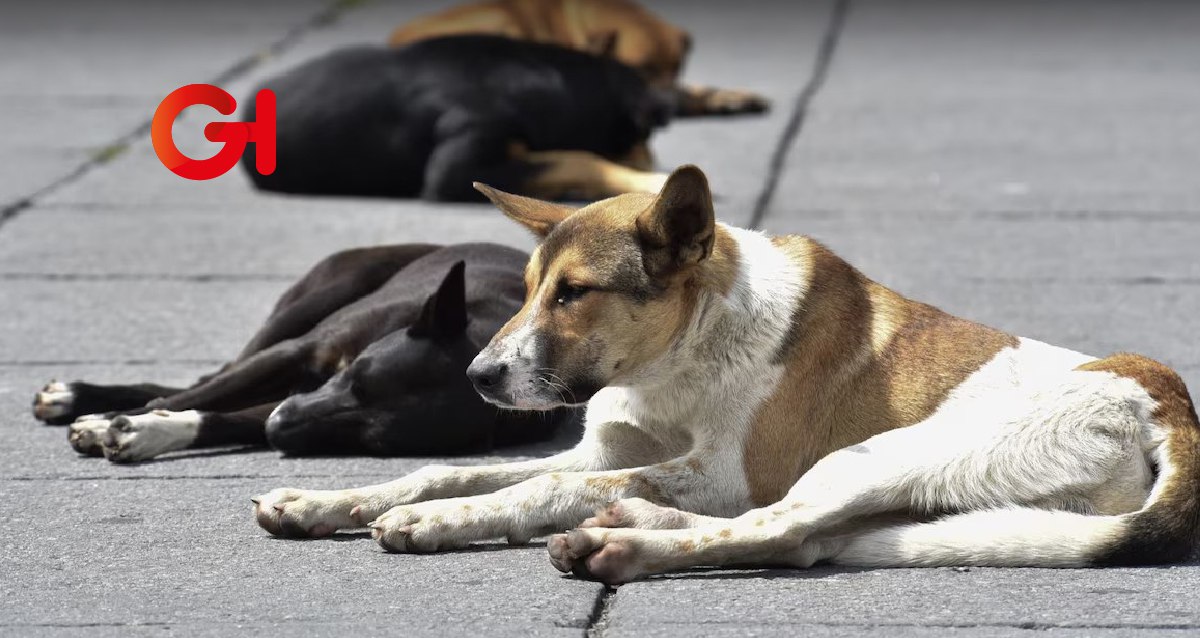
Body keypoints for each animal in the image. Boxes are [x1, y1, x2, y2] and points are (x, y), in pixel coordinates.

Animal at [30, 242, 564, 460]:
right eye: (355, 377)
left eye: (371, 441)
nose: (280, 427)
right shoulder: (295, 356)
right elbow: (192, 397)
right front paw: (113, 420)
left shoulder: (294, 402)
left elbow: (221, 417)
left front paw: (149, 431)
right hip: (313, 301)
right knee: (208, 378)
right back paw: (79, 396)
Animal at [248, 164, 1195, 582]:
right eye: (525, 291)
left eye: (574, 294)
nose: (478, 376)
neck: (685, 353)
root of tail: (1167, 403)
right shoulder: (601, 450)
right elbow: (449, 467)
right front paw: (328, 501)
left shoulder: (729, 473)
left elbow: (532, 489)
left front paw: (441, 522)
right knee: (803, 541)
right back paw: (627, 523)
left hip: (879, 457)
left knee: (778, 528)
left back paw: (619, 543)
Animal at [388, 0, 772, 116]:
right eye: (640, 69)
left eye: (676, 69)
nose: (665, 110)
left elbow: (693, 89)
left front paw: (730, 96)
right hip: (497, 23)